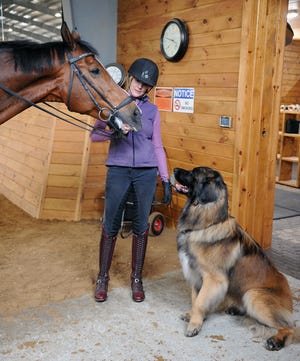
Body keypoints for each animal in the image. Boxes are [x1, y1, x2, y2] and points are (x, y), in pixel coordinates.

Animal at [175, 165, 294, 348]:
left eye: (194, 173)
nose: (173, 169)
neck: (207, 225)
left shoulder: (214, 279)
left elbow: (200, 302)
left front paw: (194, 324)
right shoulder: (196, 275)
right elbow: (195, 299)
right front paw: (193, 316)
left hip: (254, 295)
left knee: (290, 328)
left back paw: (276, 340)